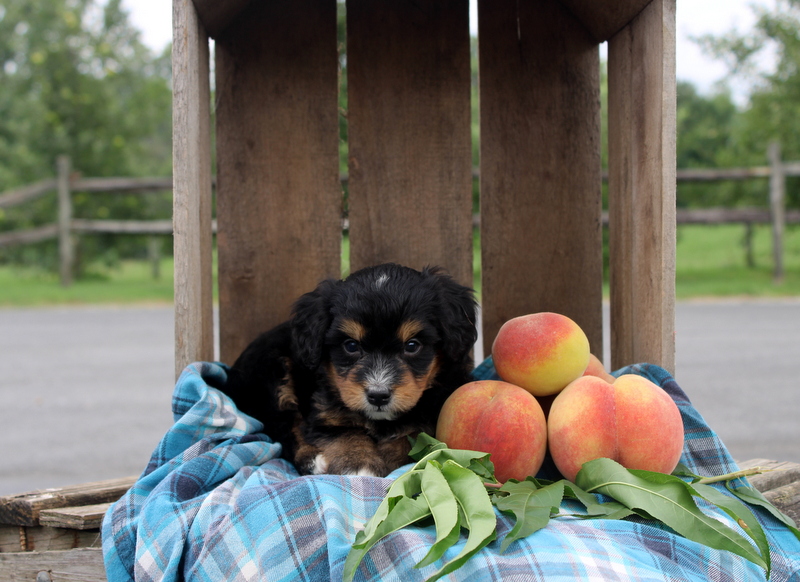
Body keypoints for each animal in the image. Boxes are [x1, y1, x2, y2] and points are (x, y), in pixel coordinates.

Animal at [219, 264, 478, 480]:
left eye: (412, 345)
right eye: (351, 346)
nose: (378, 396)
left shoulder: (436, 408)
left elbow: (413, 435)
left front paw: (387, 456)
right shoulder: (326, 412)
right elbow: (345, 433)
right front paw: (358, 465)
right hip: (274, 376)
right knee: (283, 430)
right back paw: (314, 461)